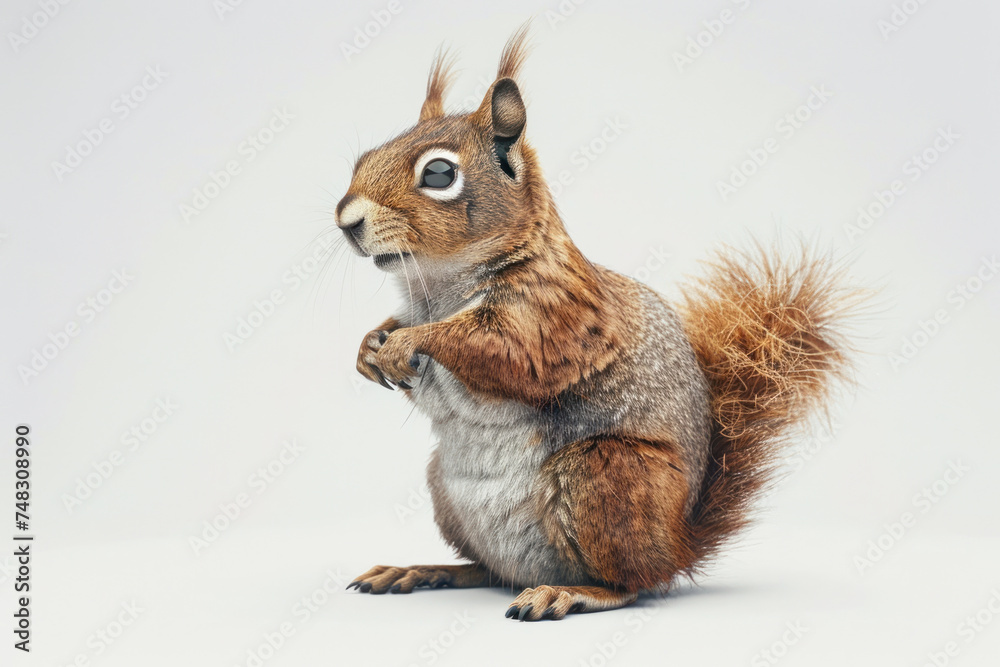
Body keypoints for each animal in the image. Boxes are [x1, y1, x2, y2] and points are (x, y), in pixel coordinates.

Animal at [338, 25, 860, 621]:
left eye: (440, 173)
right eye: (365, 155)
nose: (347, 220)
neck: (438, 286)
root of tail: (679, 544)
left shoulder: (558, 316)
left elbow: (506, 351)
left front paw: (406, 342)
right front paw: (367, 346)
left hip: (604, 474)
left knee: (630, 583)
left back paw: (569, 592)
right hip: (448, 496)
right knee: (490, 570)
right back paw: (425, 570)